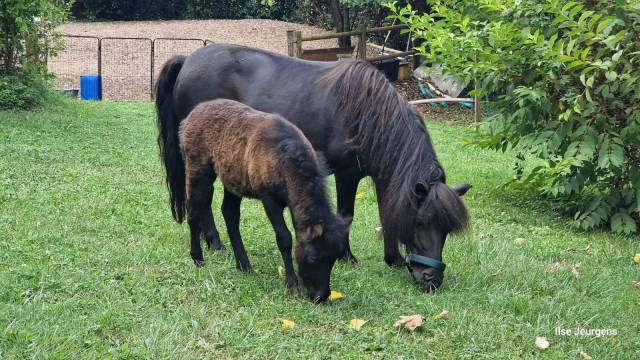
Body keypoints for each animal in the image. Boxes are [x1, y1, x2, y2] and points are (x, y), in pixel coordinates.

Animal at [156, 44, 470, 290]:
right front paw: (347, 257)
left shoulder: (384, 176)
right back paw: (214, 242)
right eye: (422, 222)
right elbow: (347, 215)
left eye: (446, 229)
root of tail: (188, 59)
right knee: (202, 197)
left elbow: (387, 212)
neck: (368, 115)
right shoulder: (347, 175)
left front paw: (391, 259)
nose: (431, 279)